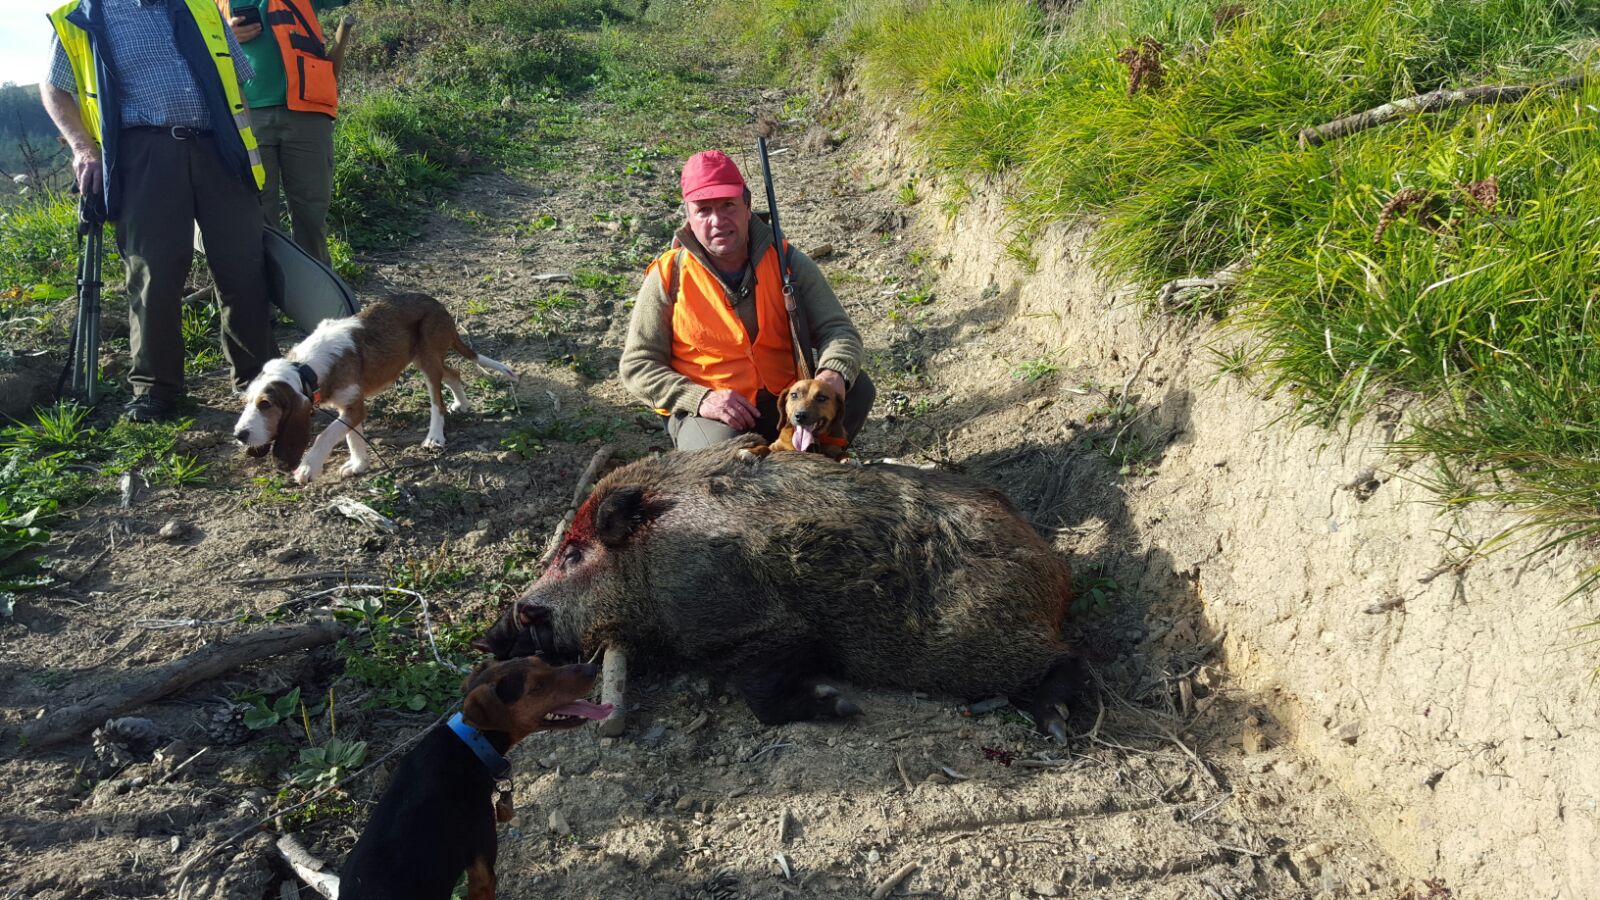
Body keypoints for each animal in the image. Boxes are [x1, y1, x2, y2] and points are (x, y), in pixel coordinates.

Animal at [233, 291, 518, 480]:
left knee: (437, 400)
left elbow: (327, 434)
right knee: (453, 373)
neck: (307, 368)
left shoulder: (354, 406)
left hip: (427, 357)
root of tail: (437, 304)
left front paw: (308, 467)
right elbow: (352, 435)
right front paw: (359, 464)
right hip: (422, 357)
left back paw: (435, 436)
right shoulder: (350, 406)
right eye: (245, 402)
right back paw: (462, 403)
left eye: (266, 404)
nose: (239, 435)